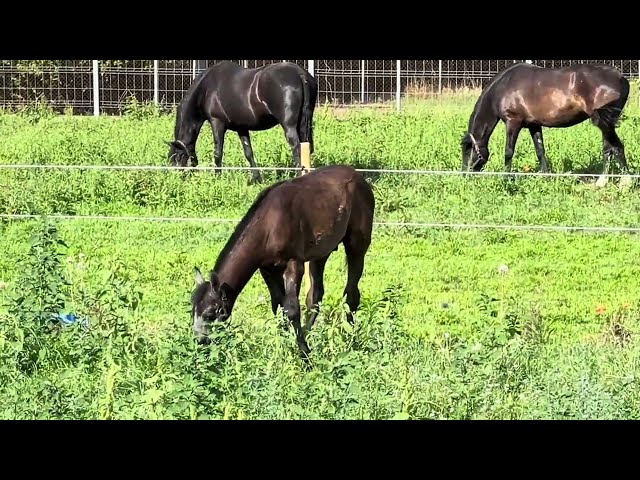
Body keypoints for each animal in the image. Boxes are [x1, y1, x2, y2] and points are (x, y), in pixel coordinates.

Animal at [164, 60, 316, 184]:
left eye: (177, 158)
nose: (175, 180)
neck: (206, 88)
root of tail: (300, 74)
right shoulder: (241, 128)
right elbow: (248, 153)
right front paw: (257, 179)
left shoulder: (217, 122)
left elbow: (218, 152)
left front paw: (217, 178)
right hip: (304, 124)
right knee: (306, 148)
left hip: (289, 126)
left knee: (297, 149)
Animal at [192, 165, 378, 360]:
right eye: (193, 311)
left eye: (210, 313)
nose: (199, 341)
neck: (269, 224)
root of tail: (358, 176)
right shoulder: (268, 269)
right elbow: (278, 305)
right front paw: (284, 345)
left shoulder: (294, 263)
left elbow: (291, 309)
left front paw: (304, 354)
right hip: (321, 253)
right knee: (315, 295)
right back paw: (310, 332)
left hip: (357, 244)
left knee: (351, 293)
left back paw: (351, 337)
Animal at [460, 62, 632, 186]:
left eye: (468, 150)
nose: (463, 175)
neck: (503, 87)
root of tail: (622, 79)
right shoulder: (534, 125)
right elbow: (540, 150)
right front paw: (546, 176)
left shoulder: (513, 122)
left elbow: (508, 152)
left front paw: (506, 179)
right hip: (606, 123)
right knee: (608, 148)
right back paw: (602, 181)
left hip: (603, 122)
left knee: (617, 147)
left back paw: (626, 182)